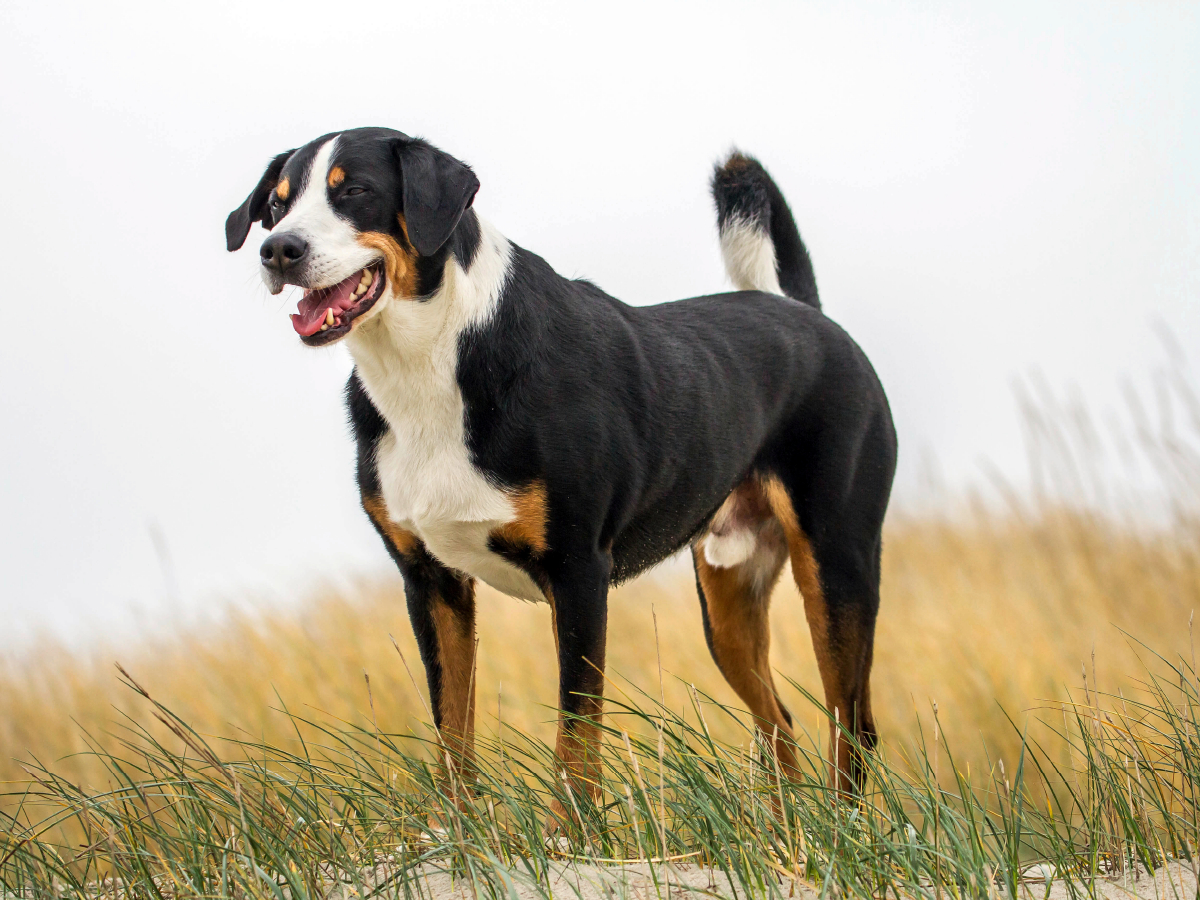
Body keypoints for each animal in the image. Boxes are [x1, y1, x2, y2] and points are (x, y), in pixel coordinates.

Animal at [226, 125, 902, 801]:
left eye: (356, 191)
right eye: (277, 206)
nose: (278, 250)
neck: (430, 366)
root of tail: (808, 313)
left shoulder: (577, 571)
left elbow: (575, 745)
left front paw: (574, 827)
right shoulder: (430, 581)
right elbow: (454, 740)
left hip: (836, 564)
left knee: (852, 727)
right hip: (728, 599)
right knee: (779, 725)